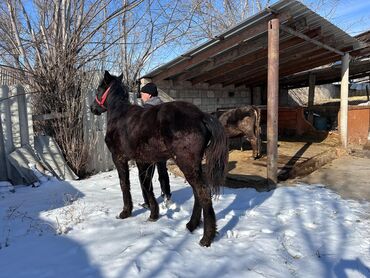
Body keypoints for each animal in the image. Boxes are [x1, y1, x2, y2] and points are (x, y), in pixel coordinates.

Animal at [90, 71, 228, 245]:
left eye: (99, 89)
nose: (92, 108)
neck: (120, 116)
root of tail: (201, 116)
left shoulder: (119, 158)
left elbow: (125, 184)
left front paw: (125, 212)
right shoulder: (144, 161)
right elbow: (146, 185)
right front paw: (153, 214)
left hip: (186, 164)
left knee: (202, 192)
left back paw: (206, 238)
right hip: (193, 166)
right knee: (197, 192)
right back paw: (191, 225)